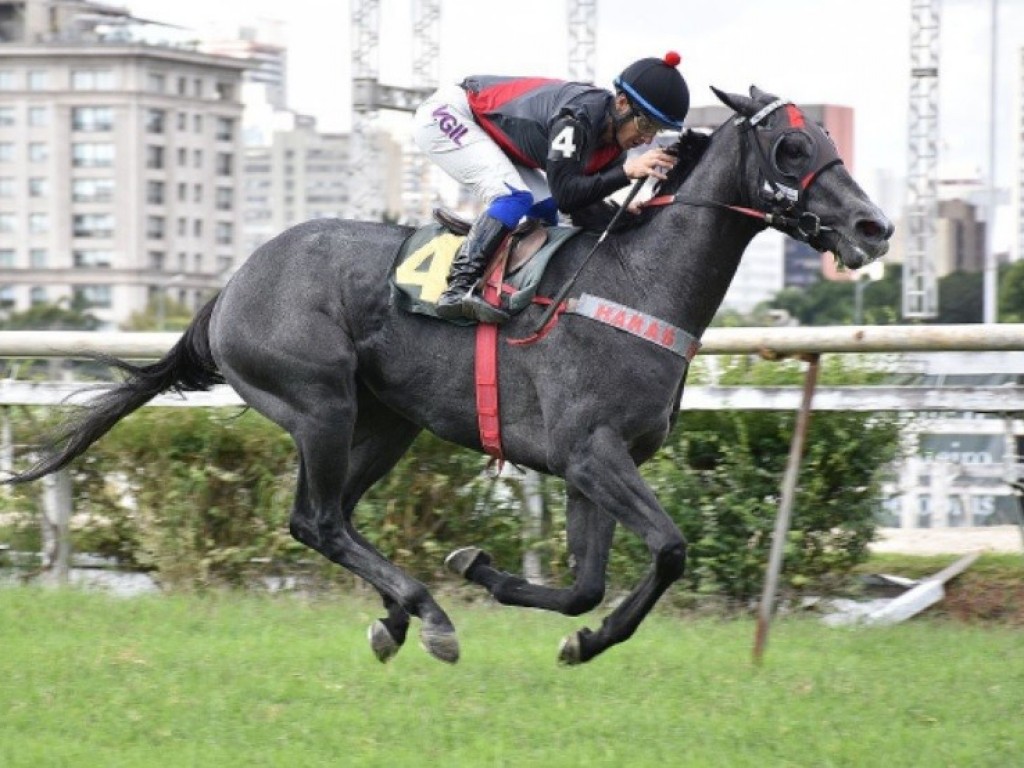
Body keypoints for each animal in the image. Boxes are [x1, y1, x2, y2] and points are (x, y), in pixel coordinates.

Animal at [8, 87, 892, 667]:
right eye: (791, 148)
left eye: (825, 139)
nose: (874, 225)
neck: (636, 281)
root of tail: (230, 284)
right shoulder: (591, 453)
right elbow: (671, 550)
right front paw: (504, 597)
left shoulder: (593, 466)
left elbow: (585, 584)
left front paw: (563, 626)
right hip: (319, 403)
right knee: (317, 520)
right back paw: (425, 616)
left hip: (386, 423)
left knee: (330, 519)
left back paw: (396, 618)